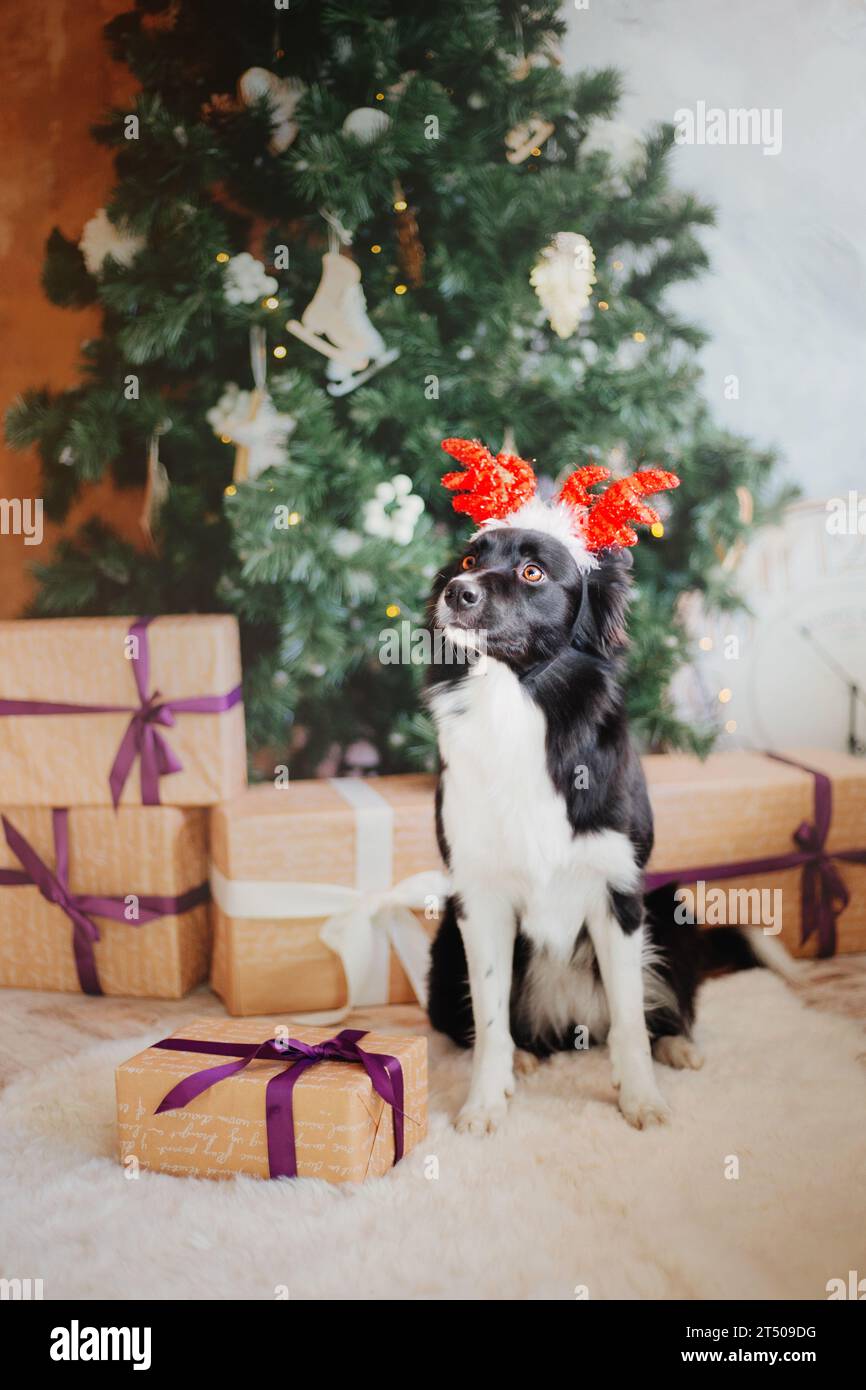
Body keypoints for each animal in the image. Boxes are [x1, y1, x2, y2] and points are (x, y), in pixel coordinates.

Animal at [422, 439, 767, 1134]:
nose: (456, 591)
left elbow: (630, 1019)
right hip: (445, 940)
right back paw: (529, 1058)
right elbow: (491, 1018)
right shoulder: (477, 894)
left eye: (533, 573)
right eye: (470, 559)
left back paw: (678, 1046)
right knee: (492, 1023)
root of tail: (572, 1022)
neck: (517, 707)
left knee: (653, 1012)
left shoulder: (618, 890)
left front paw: (641, 1099)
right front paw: (483, 1102)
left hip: (669, 906)